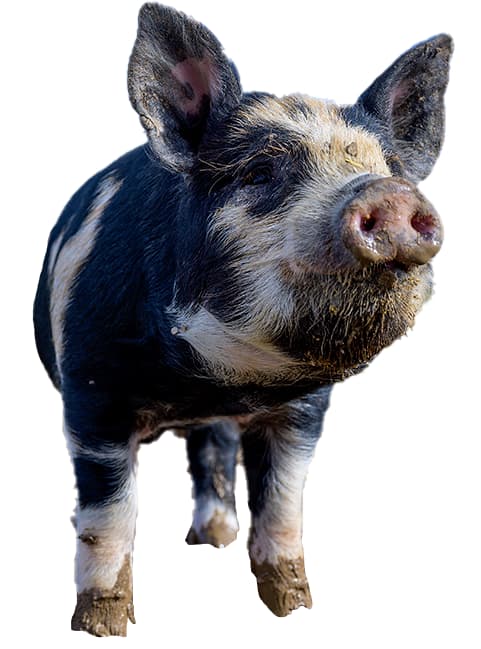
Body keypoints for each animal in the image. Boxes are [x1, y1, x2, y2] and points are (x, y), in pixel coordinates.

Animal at [33, 3, 452, 637]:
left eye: (392, 168)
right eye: (259, 172)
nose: (389, 192)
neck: (211, 382)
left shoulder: (304, 411)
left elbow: (282, 506)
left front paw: (294, 609)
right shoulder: (90, 391)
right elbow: (109, 517)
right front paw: (101, 627)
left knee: (213, 450)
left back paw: (215, 539)